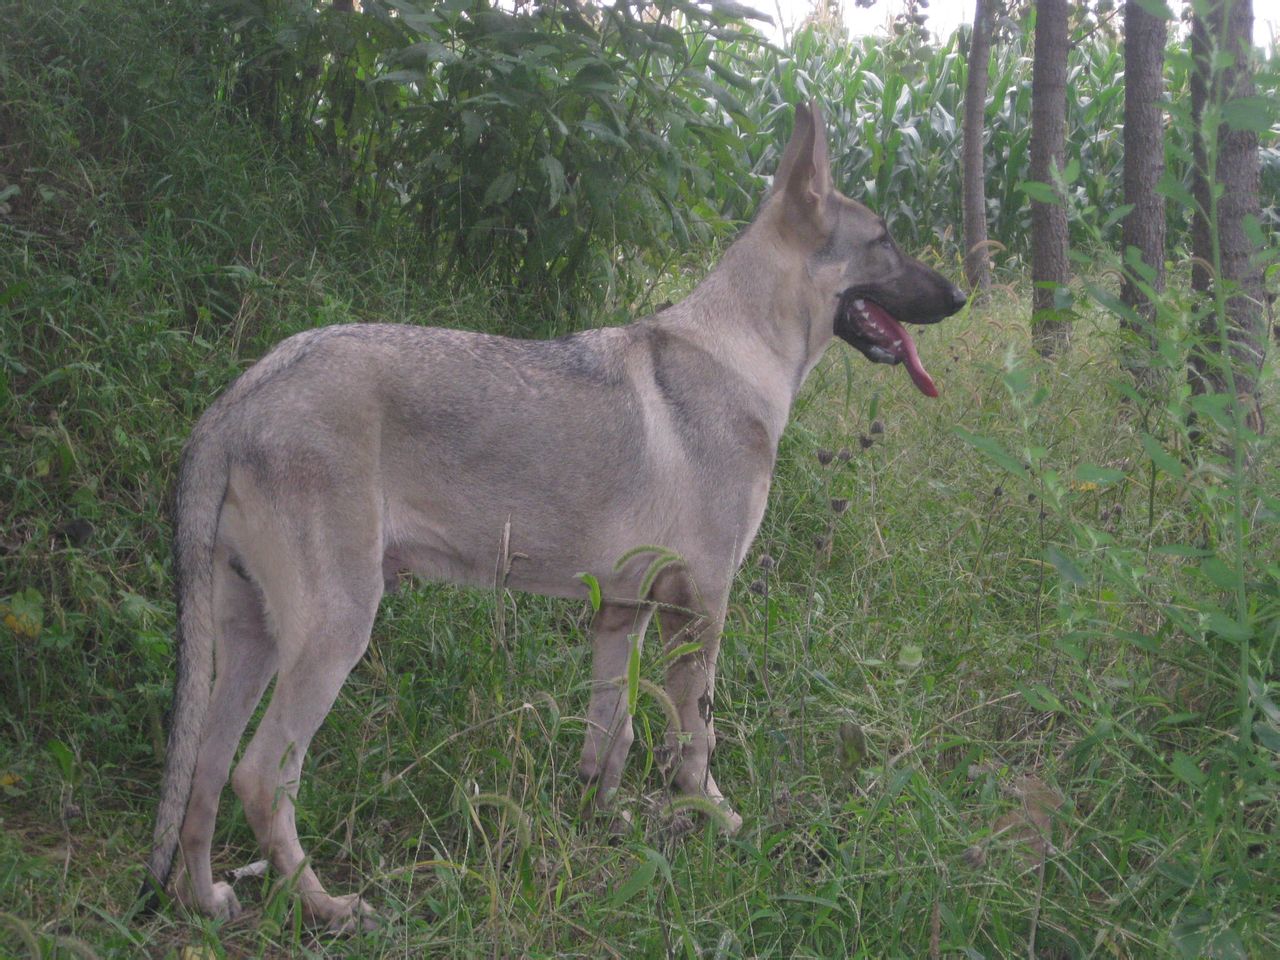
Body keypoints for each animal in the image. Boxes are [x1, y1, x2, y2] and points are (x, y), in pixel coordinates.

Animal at [145, 101, 962, 926]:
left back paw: (206, 899)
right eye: (885, 239)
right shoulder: (701, 605)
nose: (960, 298)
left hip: (251, 638)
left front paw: (604, 819)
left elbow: (613, 732)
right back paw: (327, 905)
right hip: (333, 631)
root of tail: (239, 400)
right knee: (260, 776)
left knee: (205, 769)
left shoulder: (625, 613)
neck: (742, 349)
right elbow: (695, 737)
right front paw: (718, 820)